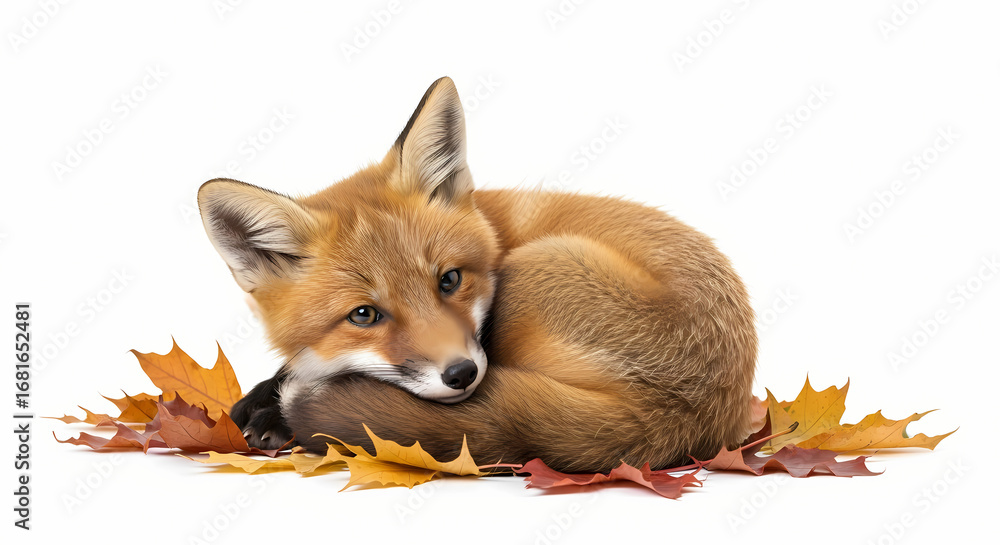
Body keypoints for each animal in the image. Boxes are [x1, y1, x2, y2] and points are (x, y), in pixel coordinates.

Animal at [197, 77, 757, 473]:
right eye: (364, 315)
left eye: (449, 280)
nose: (461, 374)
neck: (492, 222)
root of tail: (682, 420)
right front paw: (261, 401)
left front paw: (275, 410)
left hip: (533, 270)